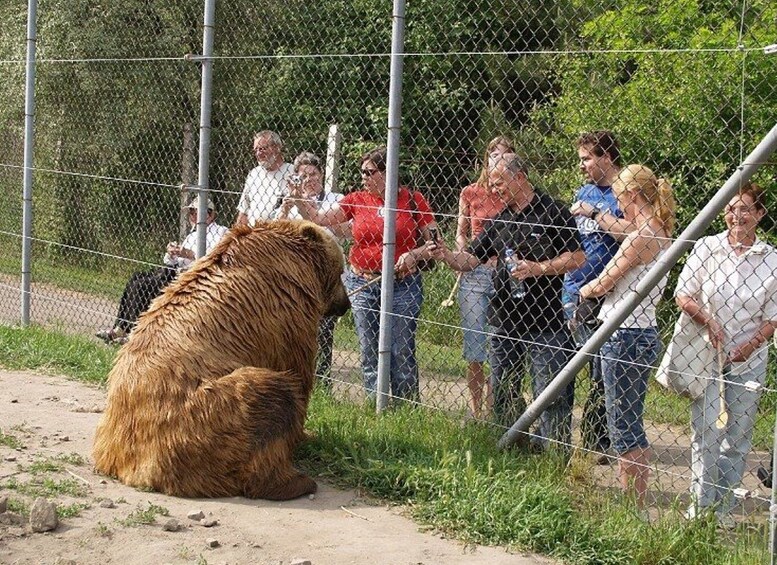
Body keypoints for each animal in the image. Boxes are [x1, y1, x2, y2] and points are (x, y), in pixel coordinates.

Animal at [91, 219, 348, 498]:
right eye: (341, 272)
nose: (346, 304)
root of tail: (128, 467)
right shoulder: (287, 313)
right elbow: (298, 375)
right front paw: (305, 435)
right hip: (203, 416)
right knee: (275, 392)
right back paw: (295, 482)